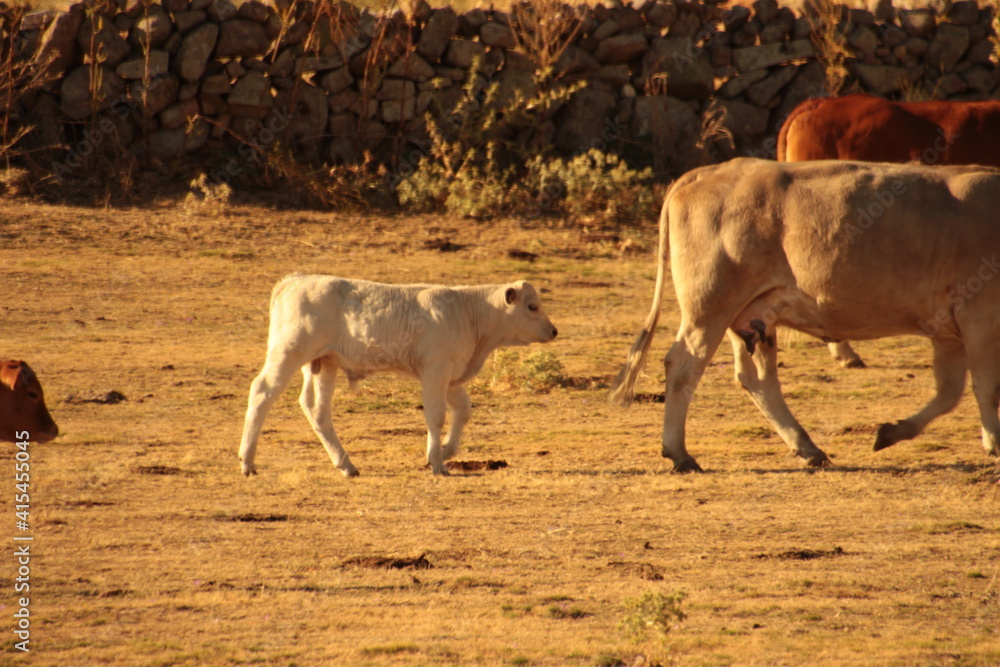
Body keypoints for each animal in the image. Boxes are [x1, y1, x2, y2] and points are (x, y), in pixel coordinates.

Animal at [239, 275, 558, 477]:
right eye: (532, 306)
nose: (554, 330)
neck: (468, 313)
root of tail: (295, 280)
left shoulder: (451, 375)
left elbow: (463, 411)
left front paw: (447, 449)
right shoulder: (435, 371)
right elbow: (435, 416)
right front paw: (437, 462)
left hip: (324, 363)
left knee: (317, 409)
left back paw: (346, 465)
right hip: (288, 353)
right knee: (262, 392)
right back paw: (247, 462)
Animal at [609, 157, 1000, 472]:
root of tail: (709, 171)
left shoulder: (949, 329)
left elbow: (950, 391)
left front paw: (892, 431)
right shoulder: (980, 313)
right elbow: (984, 385)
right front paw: (994, 442)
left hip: (753, 316)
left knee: (757, 379)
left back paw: (807, 447)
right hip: (710, 306)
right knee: (683, 365)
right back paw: (680, 454)